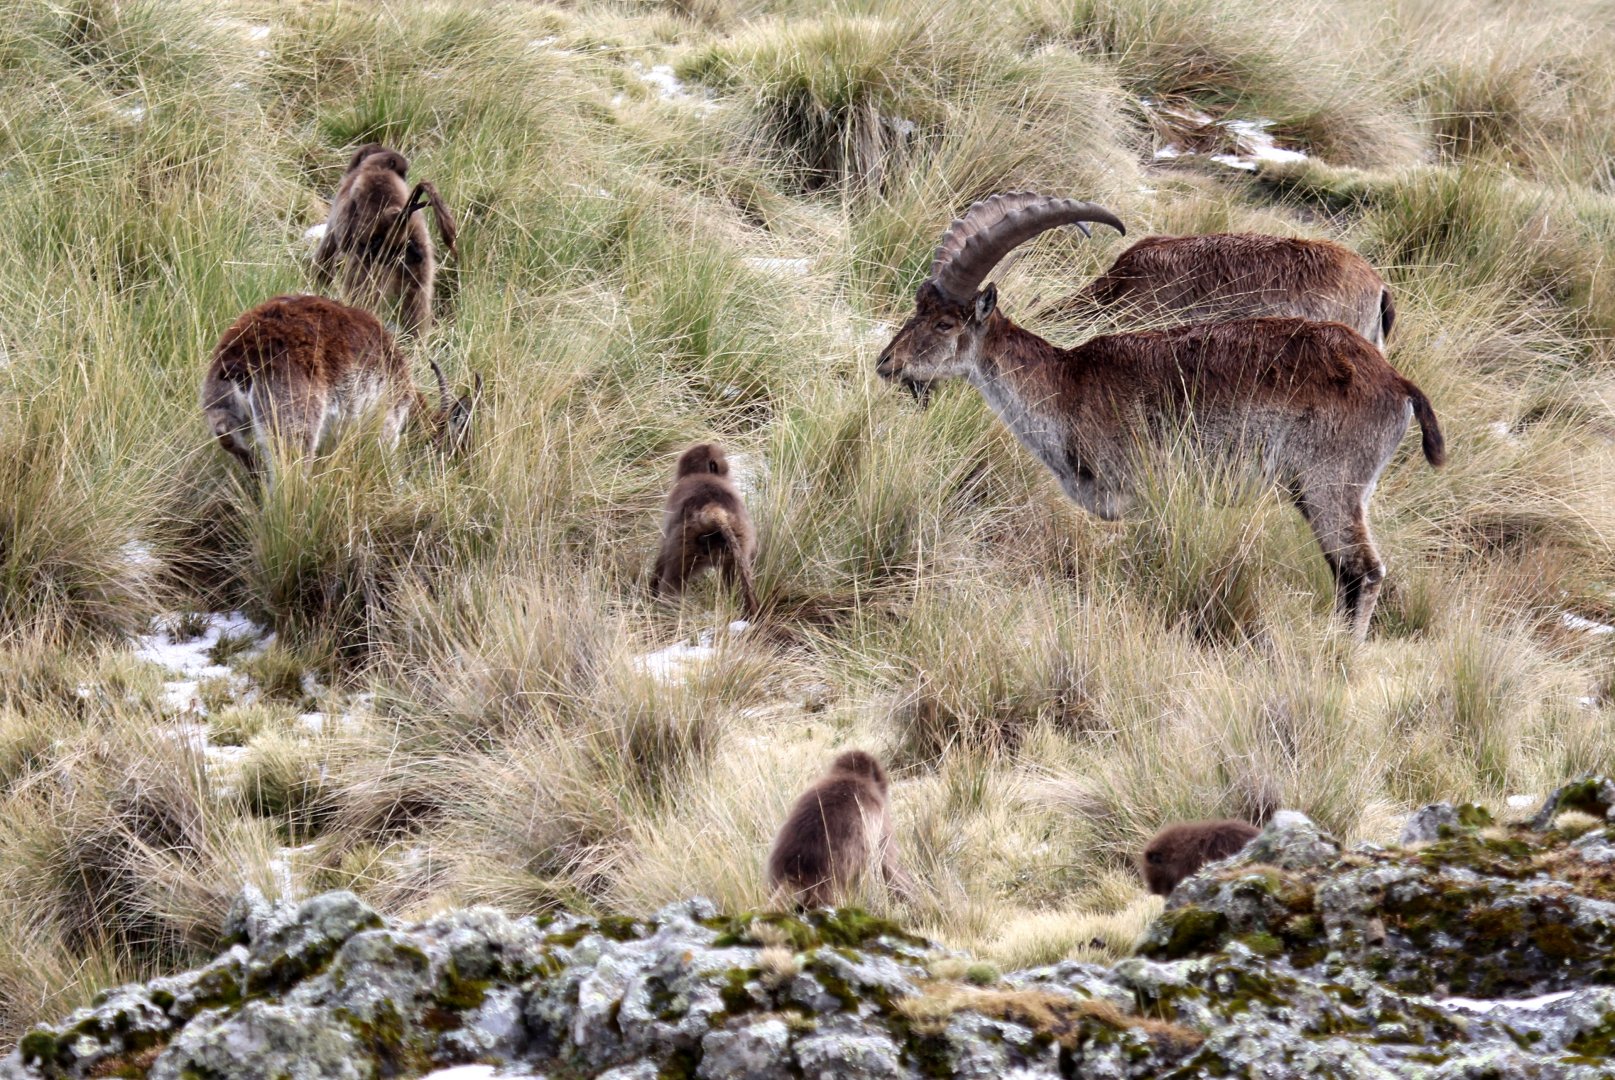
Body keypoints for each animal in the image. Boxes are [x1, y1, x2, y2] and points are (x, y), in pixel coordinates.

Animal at [201, 294, 481, 479]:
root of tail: (242, 358)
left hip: (220, 404)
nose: (465, 472)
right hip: (292, 424)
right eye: (453, 445)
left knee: (227, 435)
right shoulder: (388, 420)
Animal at [312, 144, 458, 337]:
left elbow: (331, 247)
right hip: (418, 268)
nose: (405, 177)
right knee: (417, 305)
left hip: (369, 266)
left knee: (359, 289)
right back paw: (415, 338)